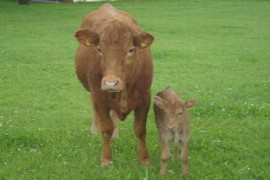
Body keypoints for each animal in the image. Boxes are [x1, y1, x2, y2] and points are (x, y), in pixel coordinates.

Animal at [74, 3, 154, 167]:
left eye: (131, 49)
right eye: (99, 49)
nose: (111, 82)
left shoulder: (145, 99)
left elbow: (140, 130)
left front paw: (144, 160)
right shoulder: (99, 98)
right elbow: (106, 129)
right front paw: (106, 160)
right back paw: (94, 129)